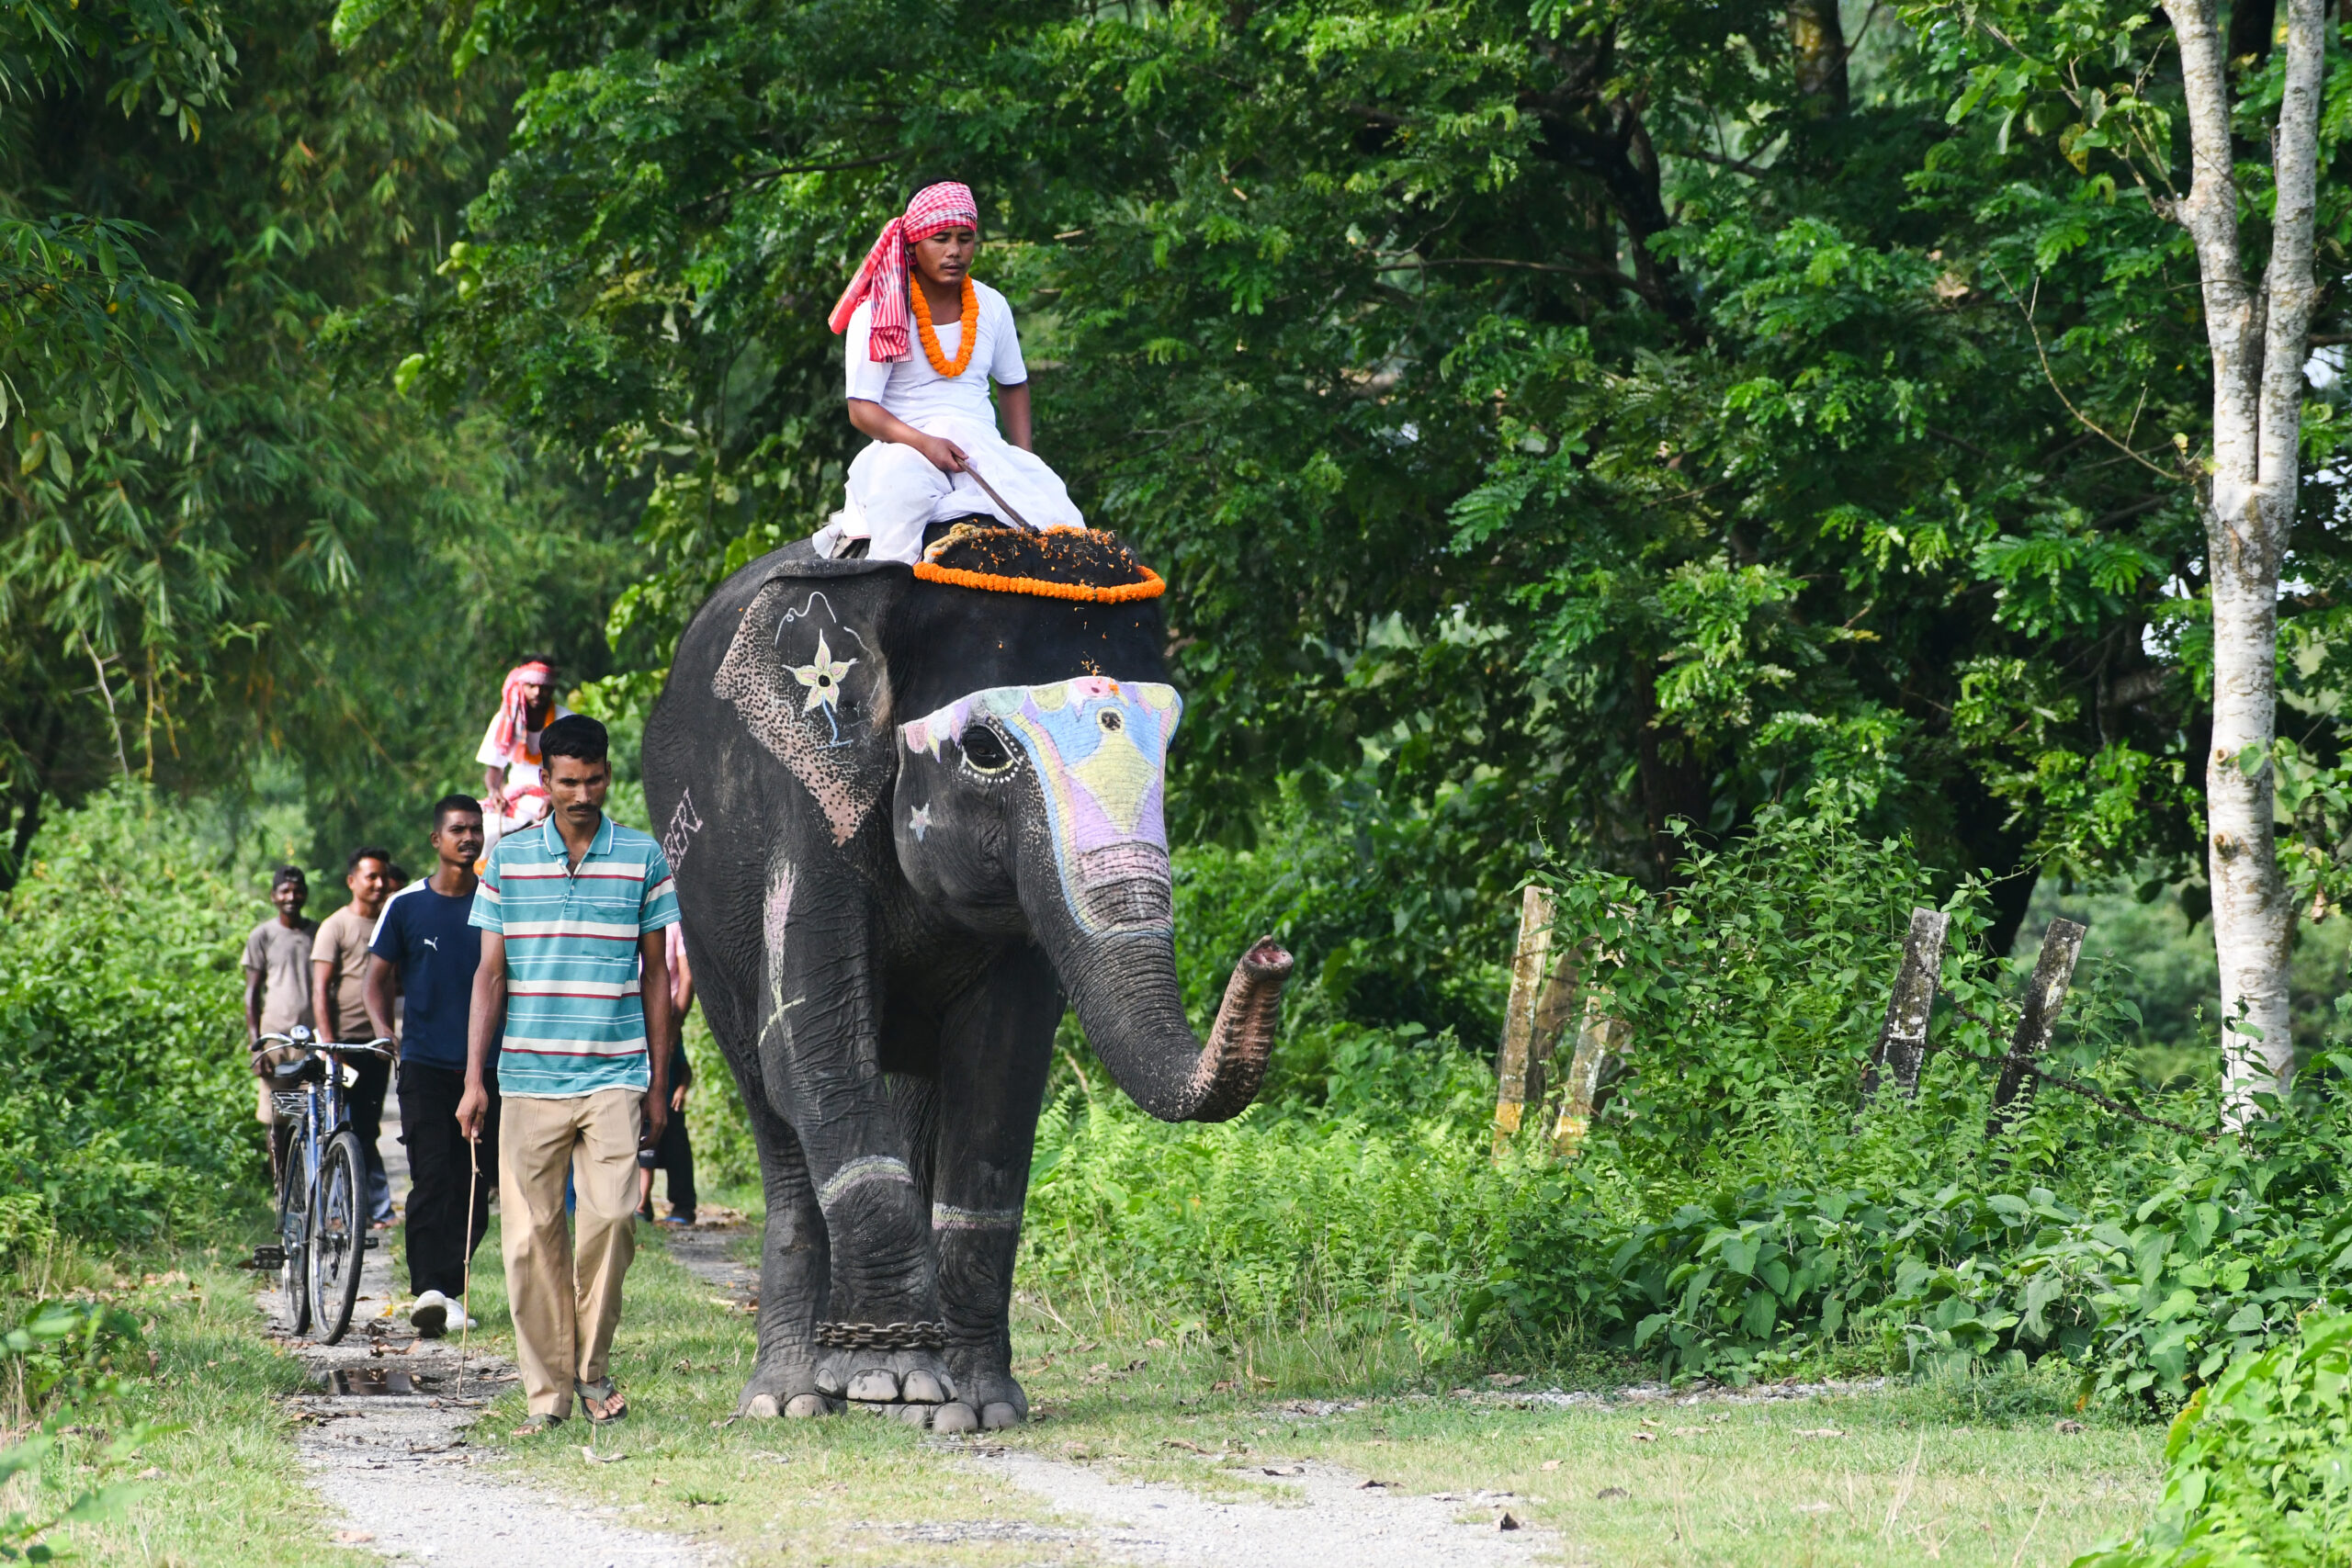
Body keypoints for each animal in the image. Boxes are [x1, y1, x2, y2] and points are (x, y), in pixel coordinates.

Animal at [642, 521, 1292, 1433]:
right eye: (984, 751)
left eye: (1172, 745)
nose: (1271, 953)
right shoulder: (803, 809)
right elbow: (809, 1043)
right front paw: (898, 1383)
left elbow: (1001, 1068)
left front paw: (973, 1406)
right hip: (700, 909)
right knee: (769, 1100)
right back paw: (794, 1398)